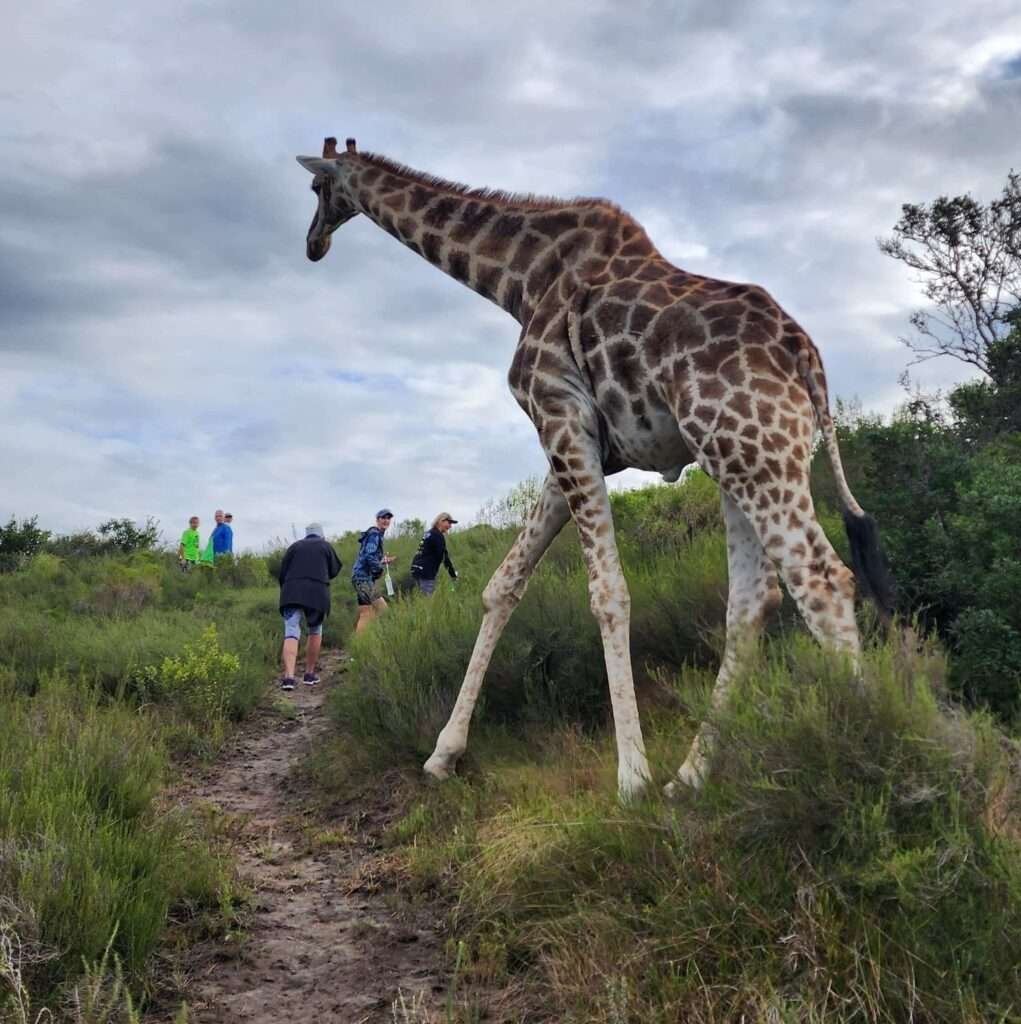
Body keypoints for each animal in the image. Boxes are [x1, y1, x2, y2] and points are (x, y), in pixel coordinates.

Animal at [296, 134, 892, 798]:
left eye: (318, 188)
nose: (313, 244)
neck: (519, 280)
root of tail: (804, 352)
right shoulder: (575, 446)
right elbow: (502, 586)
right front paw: (443, 754)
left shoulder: (560, 420)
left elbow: (608, 592)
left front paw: (630, 777)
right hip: (735, 457)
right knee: (753, 599)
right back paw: (690, 776)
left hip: (753, 450)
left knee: (823, 581)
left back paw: (872, 761)